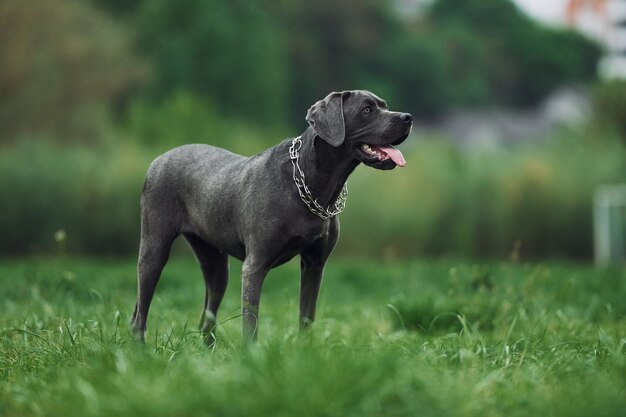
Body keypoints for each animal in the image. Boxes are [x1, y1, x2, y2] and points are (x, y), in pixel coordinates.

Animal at [129, 90, 410, 342]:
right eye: (367, 110)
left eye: (384, 105)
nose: (407, 117)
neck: (311, 183)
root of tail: (157, 159)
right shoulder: (254, 266)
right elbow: (251, 322)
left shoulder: (315, 263)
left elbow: (306, 315)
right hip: (154, 249)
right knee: (140, 312)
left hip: (216, 264)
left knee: (205, 317)